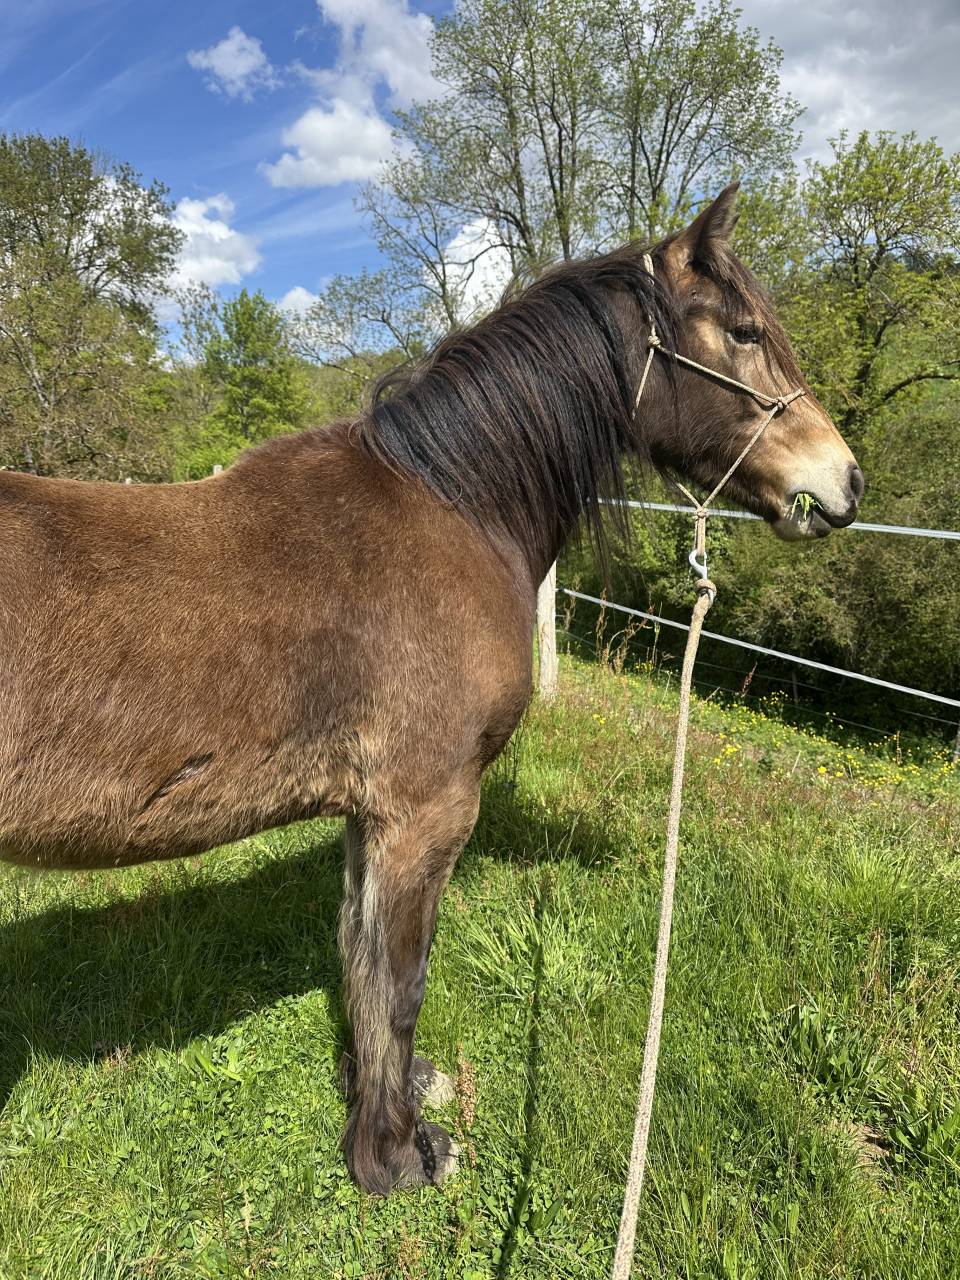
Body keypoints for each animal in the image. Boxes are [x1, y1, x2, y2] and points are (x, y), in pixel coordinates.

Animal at [0, 183, 863, 1196]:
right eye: (744, 331)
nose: (842, 481)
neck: (453, 505)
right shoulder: (428, 807)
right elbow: (401, 978)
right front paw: (396, 1156)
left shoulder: (368, 814)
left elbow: (360, 959)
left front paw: (385, 1098)